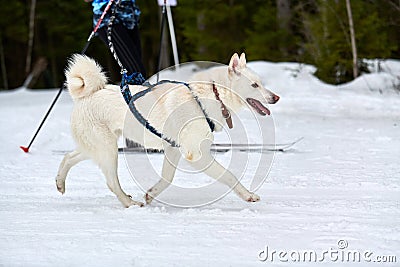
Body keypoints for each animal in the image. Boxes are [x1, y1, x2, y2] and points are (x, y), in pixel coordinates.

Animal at [55, 52, 278, 207]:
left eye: (261, 83)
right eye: (254, 85)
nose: (276, 97)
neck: (213, 95)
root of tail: (85, 95)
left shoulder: (173, 149)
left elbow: (167, 179)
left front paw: (151, 194)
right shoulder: (195, 154)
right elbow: (229, 175)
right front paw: (248, 195)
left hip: (98, 147)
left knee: (68, 157)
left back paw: (60, 183)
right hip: (108, 149)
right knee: (111, 182)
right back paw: (130, 203)